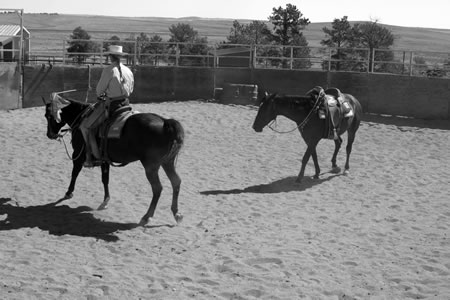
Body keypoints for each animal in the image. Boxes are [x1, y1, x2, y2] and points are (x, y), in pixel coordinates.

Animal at [42, 96, 183, 225]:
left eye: (48, 116)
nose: (49, 134)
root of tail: (165, 122)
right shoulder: (105, 160)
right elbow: (105, 179)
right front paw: (105, 200)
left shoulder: (78, 155)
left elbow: (74, 173)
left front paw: (68, 192)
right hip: (167, 162)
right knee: (176, 182)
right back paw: (176, 214)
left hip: (151, 166)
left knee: (157, 188)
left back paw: (146, 216)